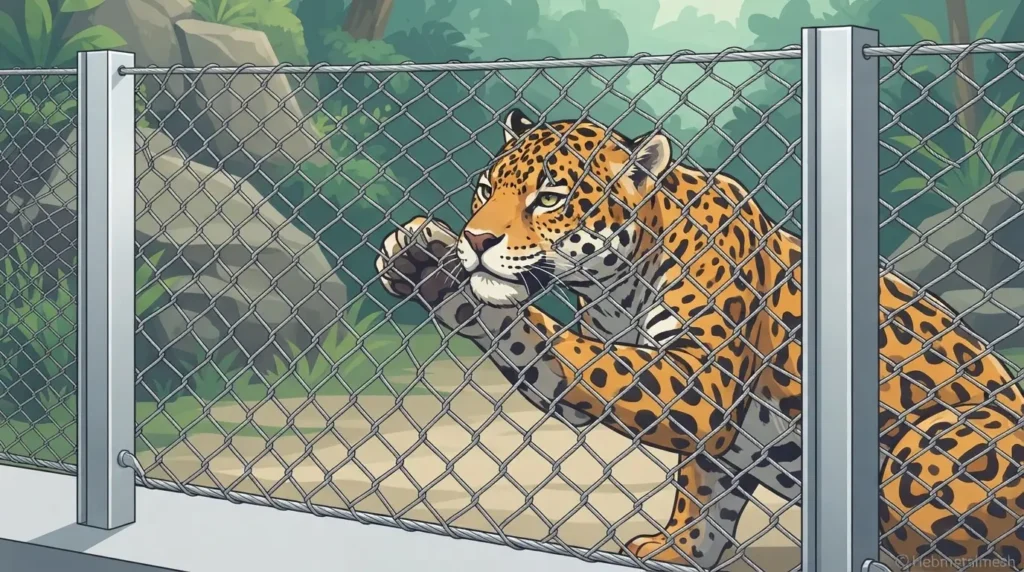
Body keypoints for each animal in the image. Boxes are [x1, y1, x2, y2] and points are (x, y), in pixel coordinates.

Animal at [374, 108, 1024, 569]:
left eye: (550, 198)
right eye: (487, 189)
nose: (477, 239)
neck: (614, 291)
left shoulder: (700, 375)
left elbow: (572, 355)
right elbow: (702, 493)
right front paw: (424, 261)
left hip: (933, 446)